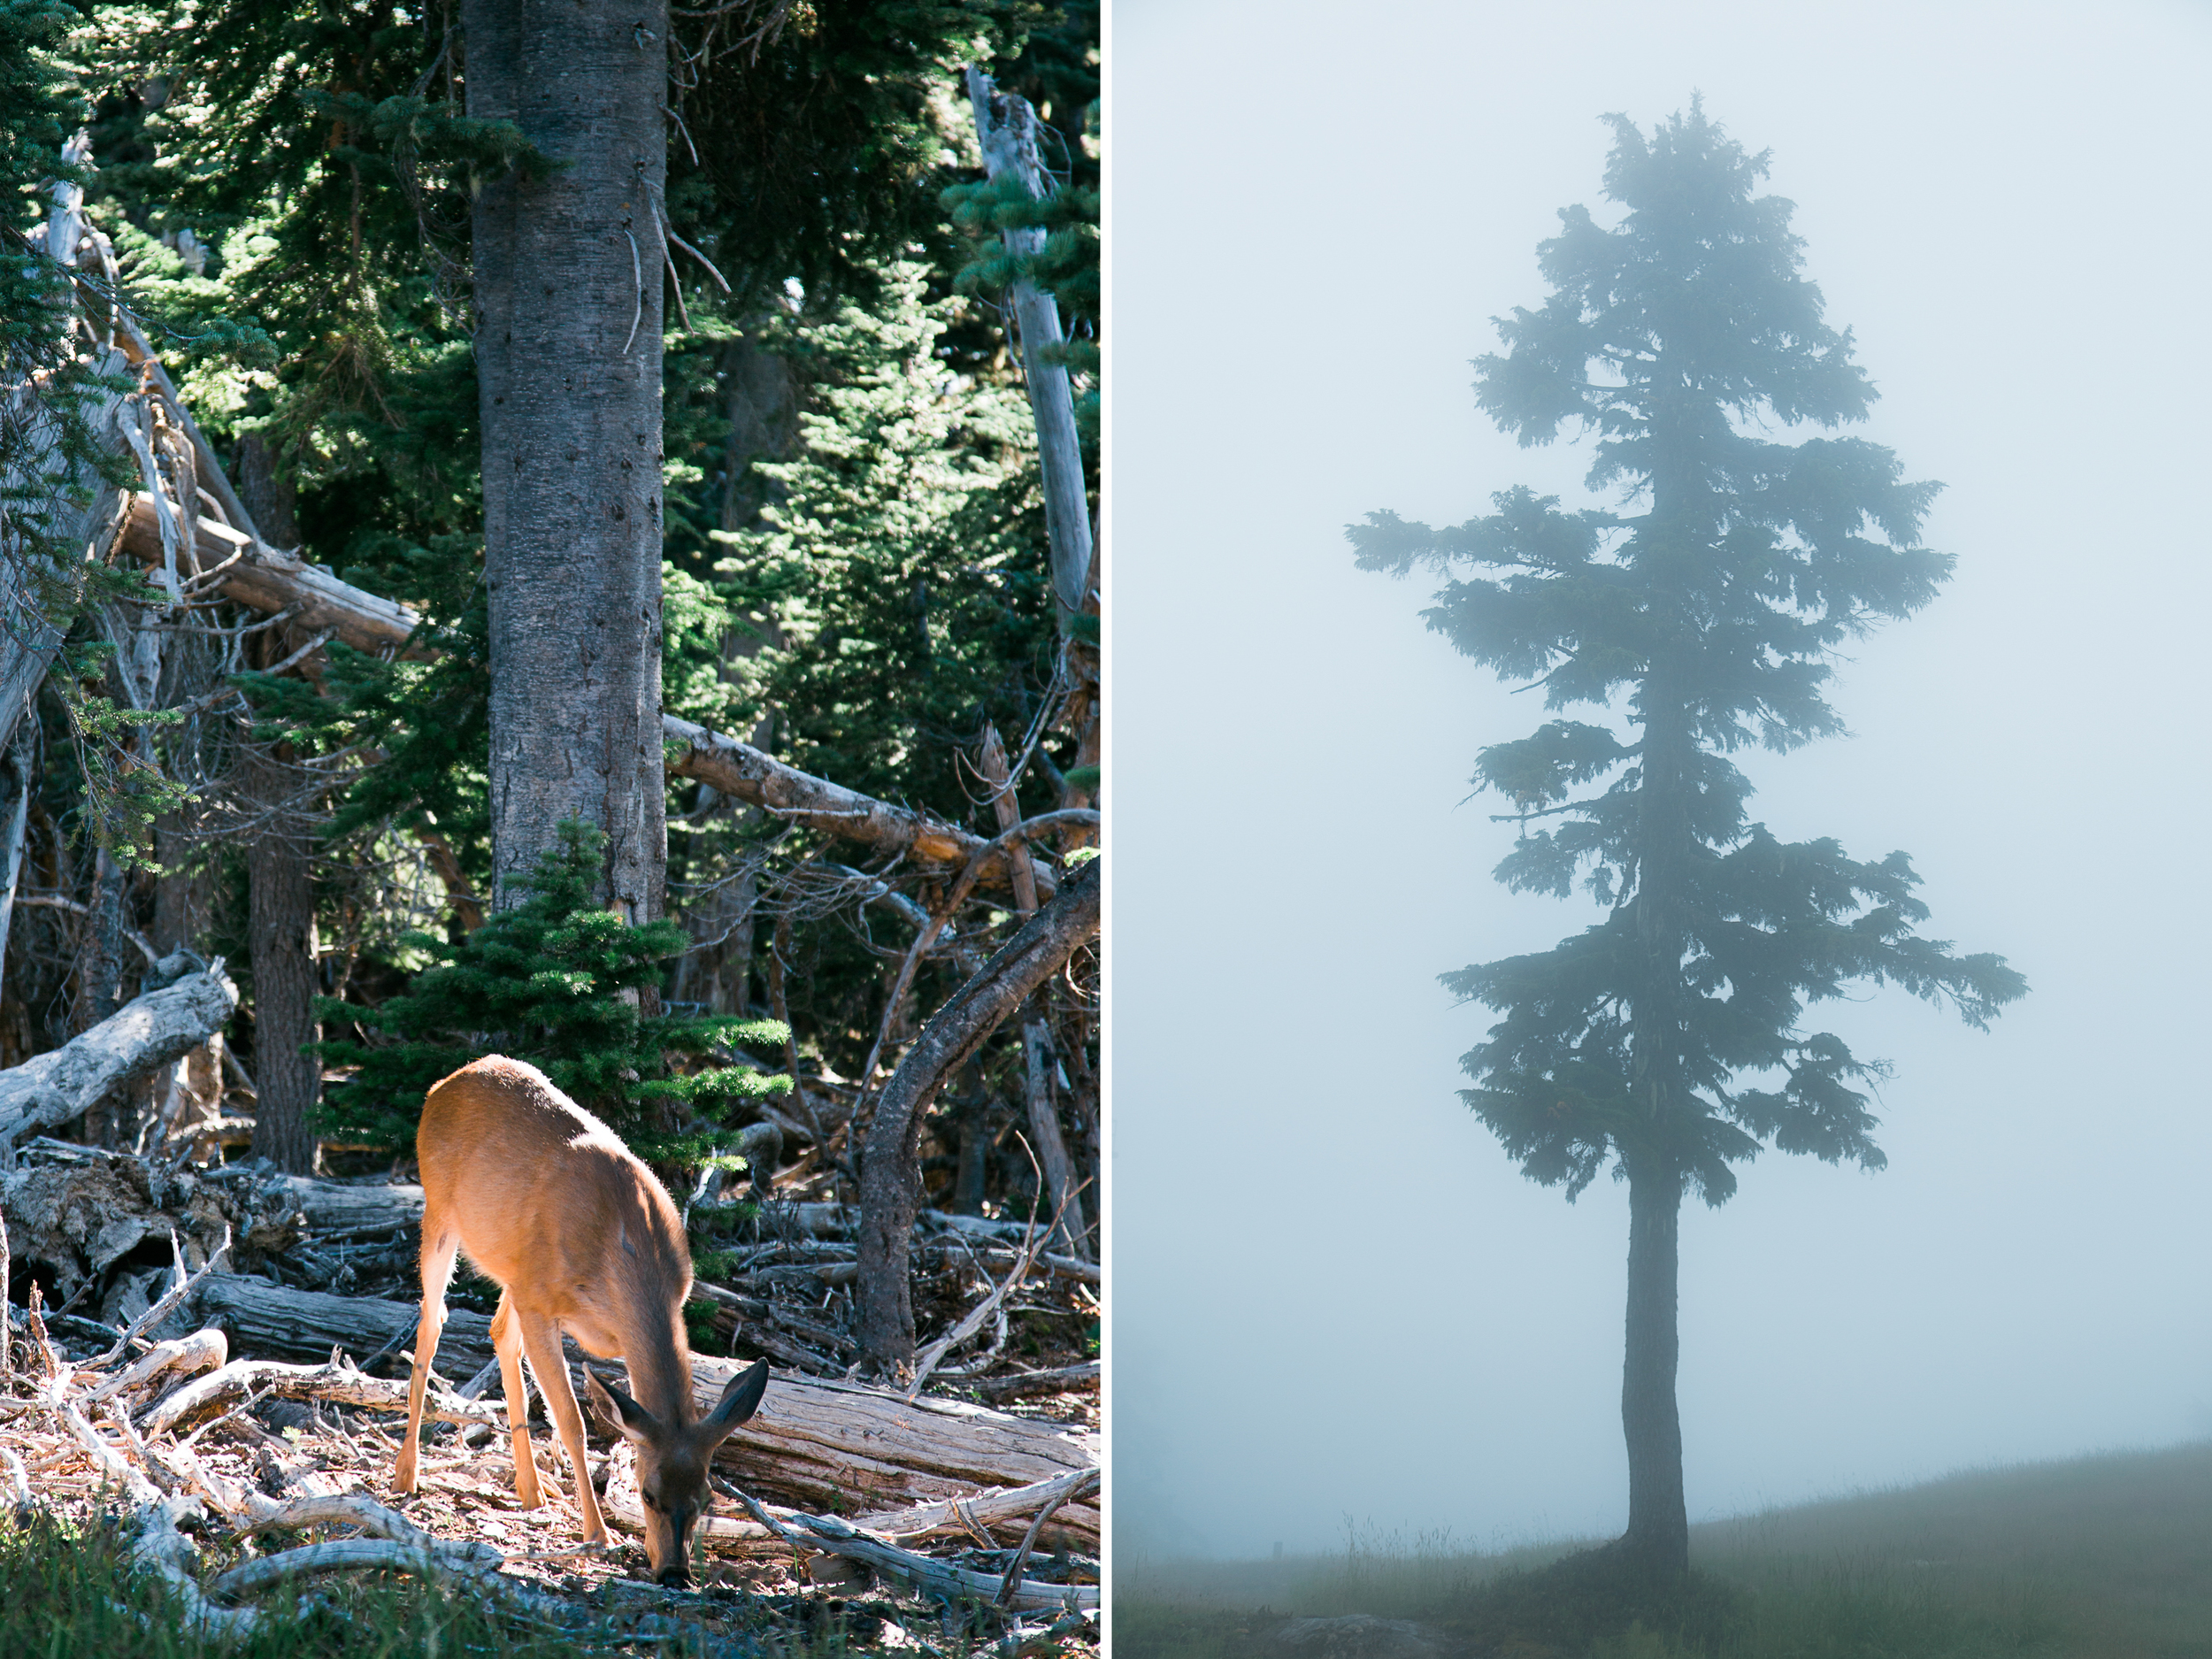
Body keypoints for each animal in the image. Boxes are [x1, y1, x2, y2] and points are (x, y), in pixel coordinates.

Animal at [394, 1057, 774, 1593]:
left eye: (706, 1500)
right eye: (647, 1493)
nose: (675, 1574)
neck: (626, 1252)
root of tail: (445, 1084)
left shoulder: (539, 1293)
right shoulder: (541, 1302)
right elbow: (573, 1422)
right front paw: (598, 1534)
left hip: (514, 1269)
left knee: (498, 1333)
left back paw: (531, 1490)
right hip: (440, 1215)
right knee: (433, 1323)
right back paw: (406, 1474)